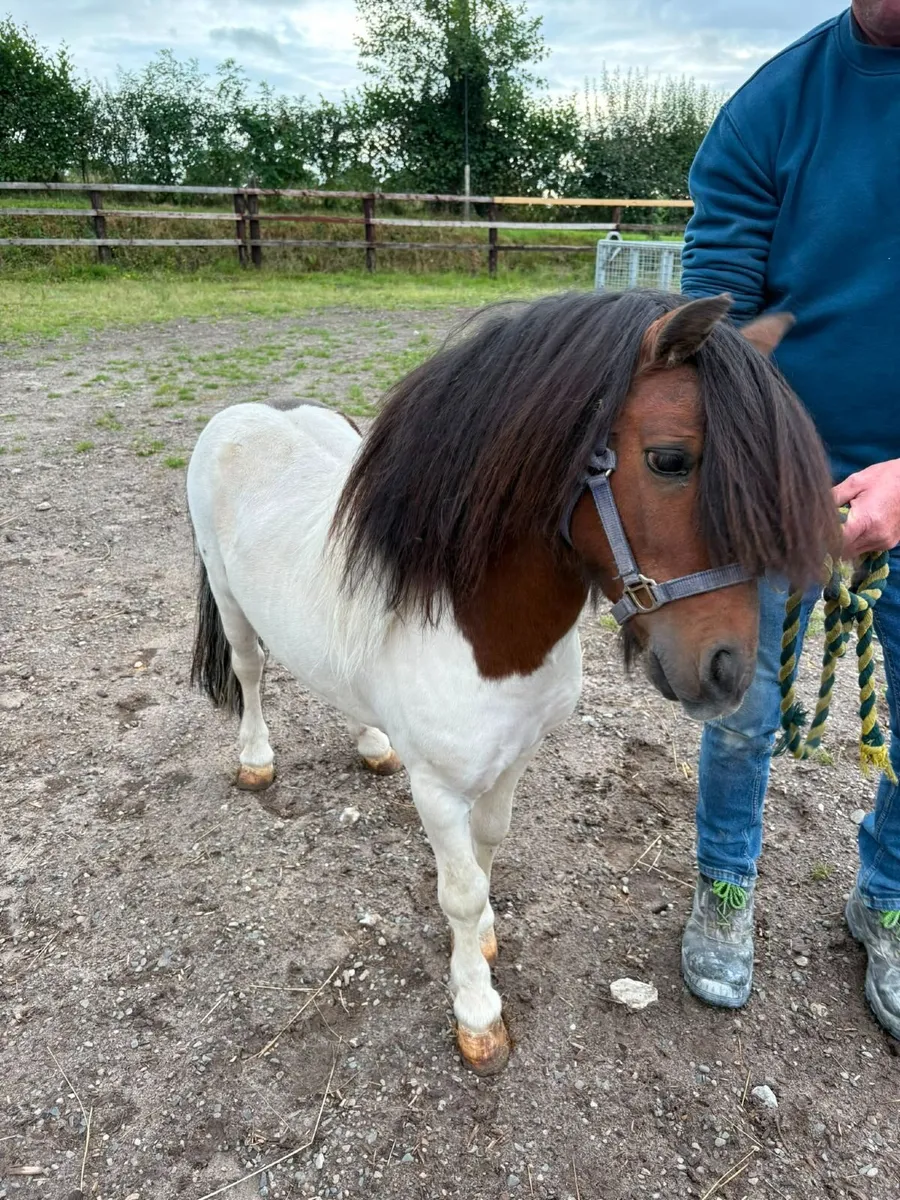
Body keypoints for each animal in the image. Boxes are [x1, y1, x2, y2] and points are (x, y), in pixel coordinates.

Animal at [186, 289, 838, 1075]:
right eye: (670, 459)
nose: (729, 671)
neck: (482, 634)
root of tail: (252, 408)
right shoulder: (437, 791)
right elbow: (460, 892)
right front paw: (477, 1011)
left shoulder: (516, 756)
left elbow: (491, 844)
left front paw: (491, 937)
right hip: (229, 599)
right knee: (250, 671)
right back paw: (256, 760)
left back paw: (372, 743)